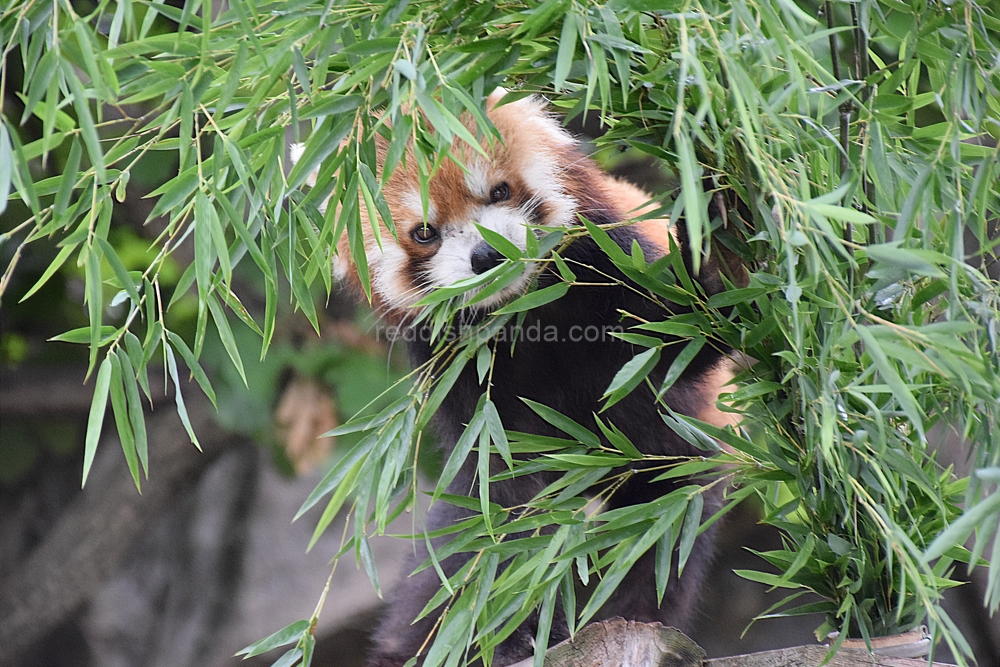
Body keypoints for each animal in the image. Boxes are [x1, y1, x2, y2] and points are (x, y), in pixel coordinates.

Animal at [292, 90, 740, 667]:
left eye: (499, 191)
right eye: (424, 232)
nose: (486, 254)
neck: (526, 310)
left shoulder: (610, 273)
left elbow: (682, 339)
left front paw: (711, 247)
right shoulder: (465, 379)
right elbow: (503, 496)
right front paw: (511, 629)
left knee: (659, 534)